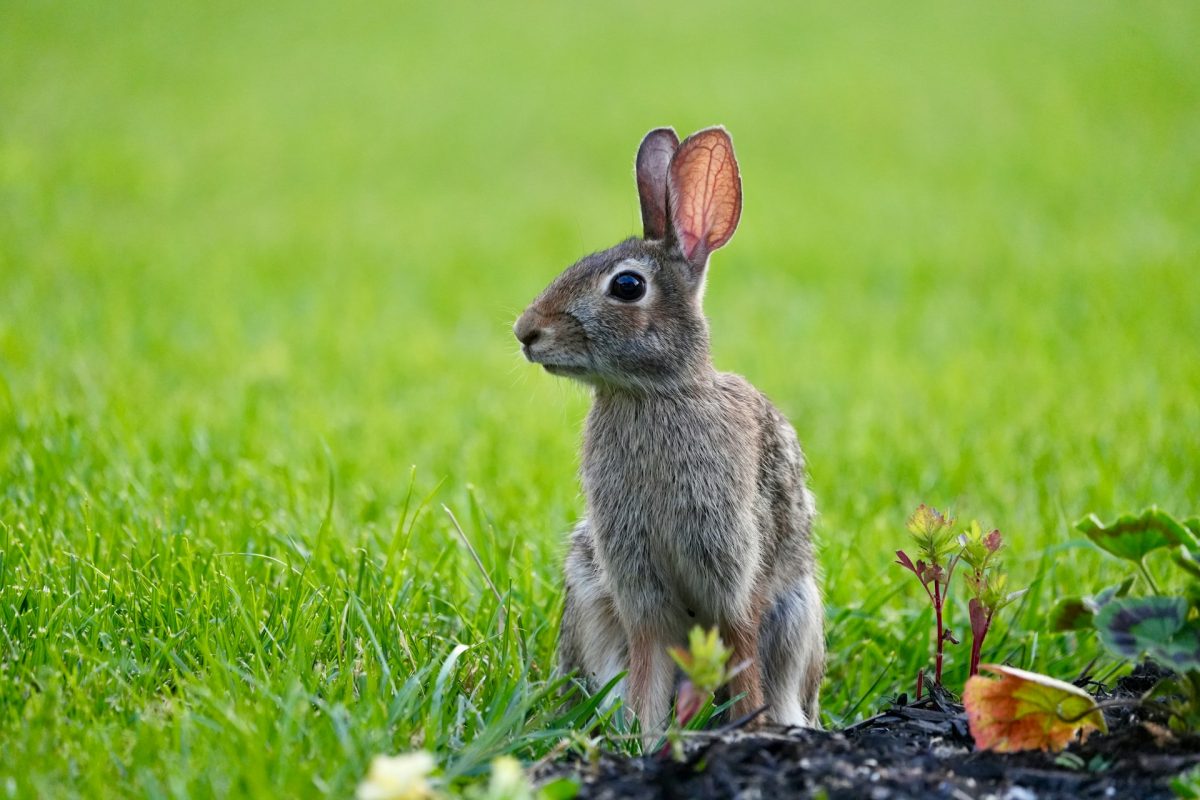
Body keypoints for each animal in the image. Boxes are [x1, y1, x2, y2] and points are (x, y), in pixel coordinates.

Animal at [513, 126, 824, 736]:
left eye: (628, 286)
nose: (526, 332)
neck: (652, 395)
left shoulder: (734, 571)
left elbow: (742, 650)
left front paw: (745, 731)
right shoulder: (638, 587)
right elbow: (648, 664)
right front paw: (643, 737)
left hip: (797, 612)